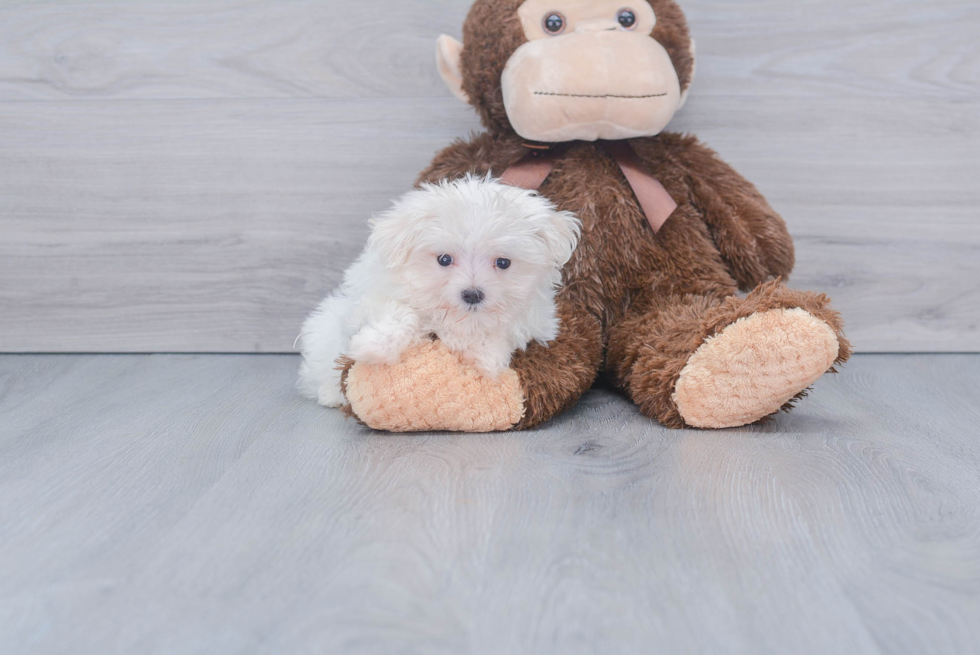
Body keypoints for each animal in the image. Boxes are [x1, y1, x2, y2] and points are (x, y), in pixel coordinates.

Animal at [294, 177, 580, 408]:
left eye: (503, 262)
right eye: (444, 259)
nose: (472, 294)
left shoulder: (534, 322)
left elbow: (497, 335)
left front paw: (486, 355)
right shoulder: (365, 302)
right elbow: (399, 312)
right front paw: (374, 347)